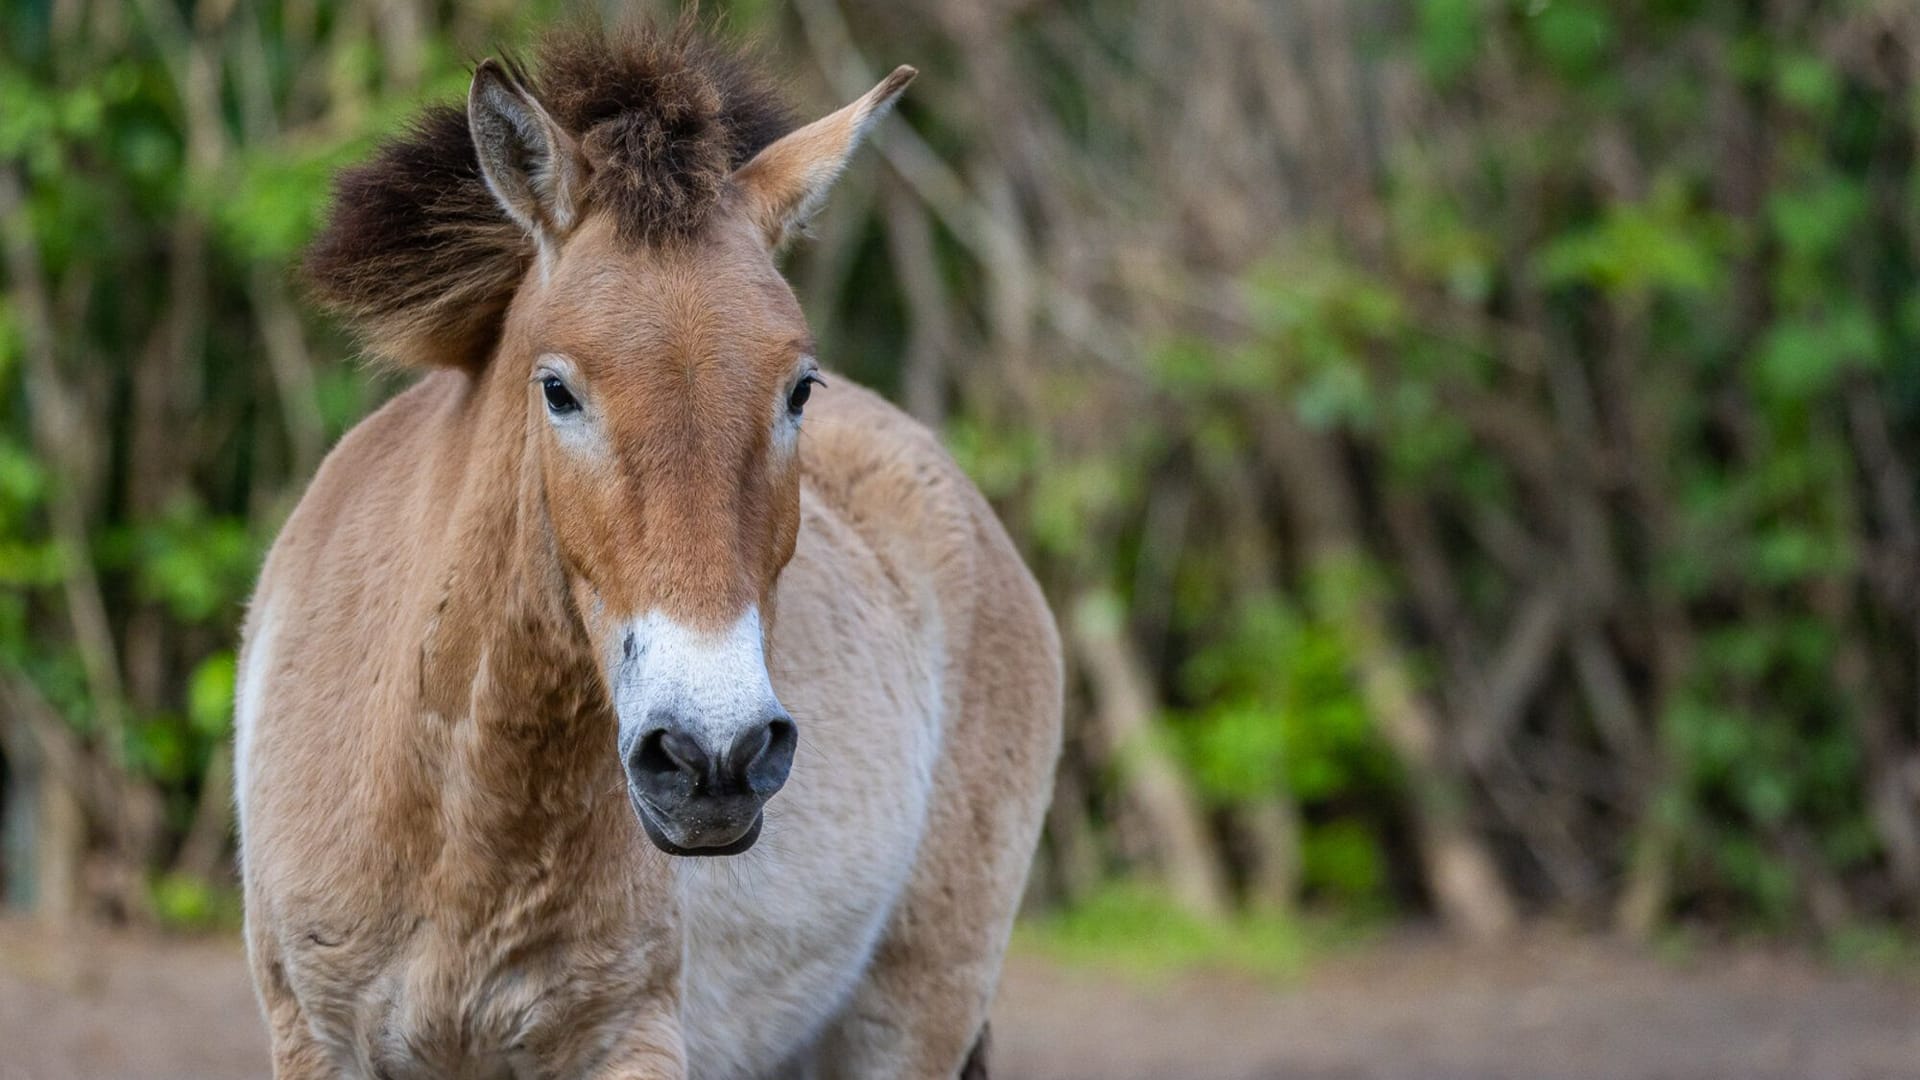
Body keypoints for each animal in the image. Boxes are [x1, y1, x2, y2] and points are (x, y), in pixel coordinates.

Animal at [240, 23, 1067, 1076]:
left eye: (800, 388)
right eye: (557, 390)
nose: (715, 756)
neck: (455, 830)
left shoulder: (628, 1039)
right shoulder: (311, 1035)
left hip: (909, 1020)